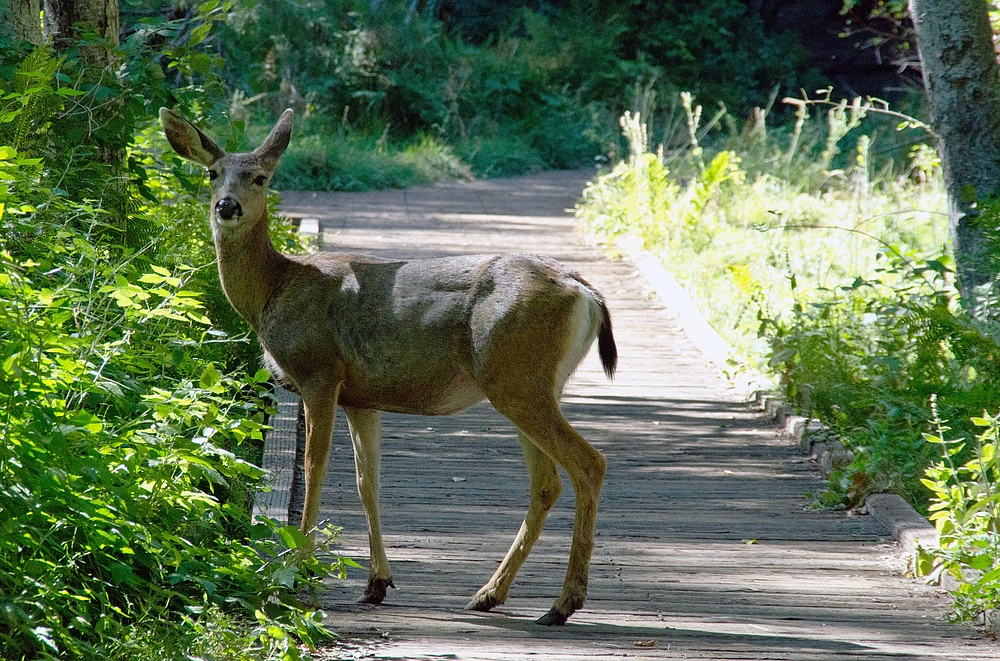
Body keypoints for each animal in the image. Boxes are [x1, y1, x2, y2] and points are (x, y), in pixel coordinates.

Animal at [159, 107, 616, 624]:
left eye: (260, 177)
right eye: (212, 173)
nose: (227, 206)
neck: (274, 288)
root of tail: (587, 293)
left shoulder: (320, 371)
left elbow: (315, 468)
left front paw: (295, 569)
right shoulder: (362, 396)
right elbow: (366, 482)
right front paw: (376, 582)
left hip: (517, 378)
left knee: (589, 463)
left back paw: (563, 603)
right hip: (530, 384)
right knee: (546, 482)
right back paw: (489, 593)